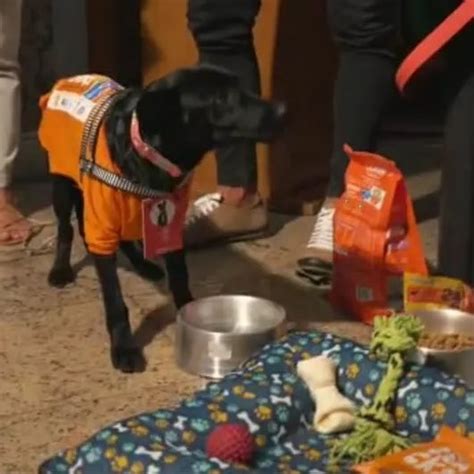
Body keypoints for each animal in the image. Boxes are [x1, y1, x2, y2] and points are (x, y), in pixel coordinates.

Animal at [39, 65, 286, 372]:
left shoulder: (170, 225)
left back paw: (144, 265)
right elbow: (115, 300)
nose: (283, 110)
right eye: (221, 98)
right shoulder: (104, 221)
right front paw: (124, 348)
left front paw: (187, 311)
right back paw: (60, 269)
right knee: (67, 229)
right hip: (63, 184)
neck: (147, 155)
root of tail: (70, 79)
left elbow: (179, 277)